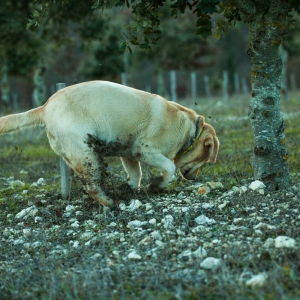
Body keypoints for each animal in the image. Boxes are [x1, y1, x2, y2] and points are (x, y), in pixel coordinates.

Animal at [0, 81, 220, 206]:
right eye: (206, 158)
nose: (195, 179)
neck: (190, 132)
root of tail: (45, 107)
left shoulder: (129, 155)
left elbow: (136, 175)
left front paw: (131, 189)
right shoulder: (145, 150)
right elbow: (170, 168)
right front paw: (156, 185)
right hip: (87, 155)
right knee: (91, 187)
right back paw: (109, 202)